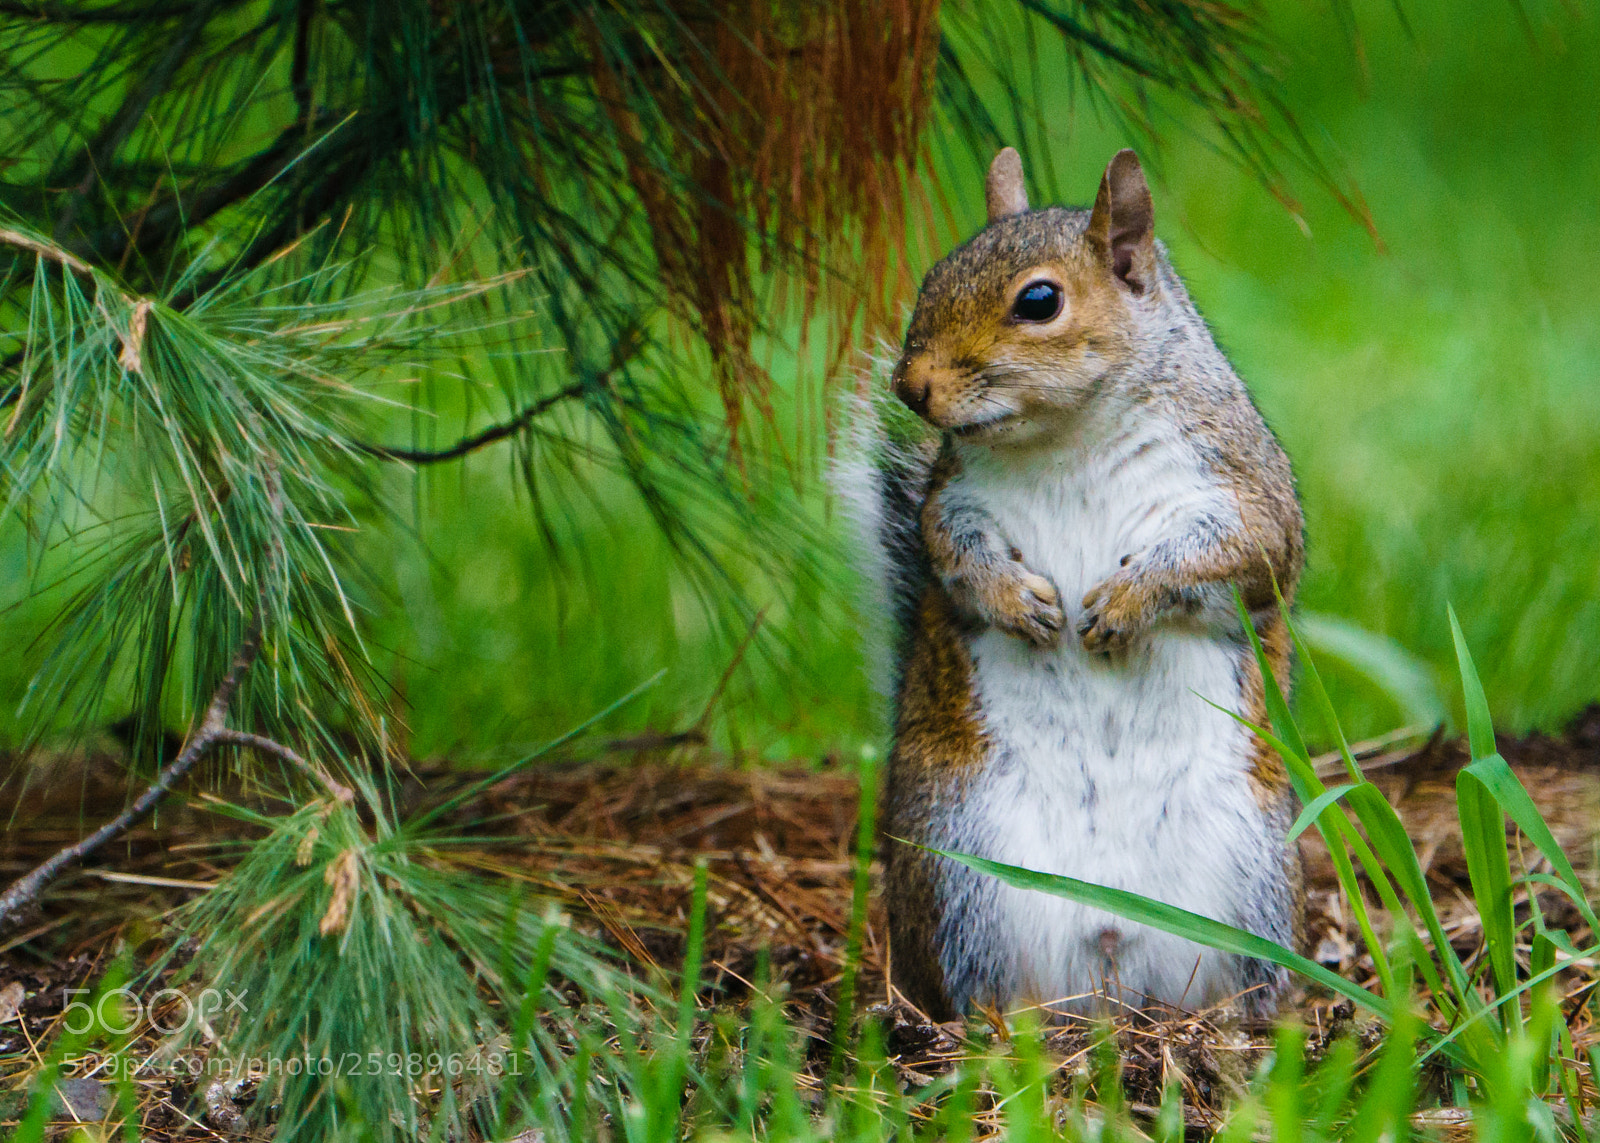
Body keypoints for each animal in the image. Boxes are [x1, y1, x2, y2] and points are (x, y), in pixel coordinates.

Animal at [851, 147, 1306, 1021]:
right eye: (935, 272)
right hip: (961, 872)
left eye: (1039, 300)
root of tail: (1110, 958)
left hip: (1249, 876)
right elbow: (952, 557)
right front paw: (1014, 600)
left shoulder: (1245, 491)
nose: (911, 385)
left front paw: (1127, 602)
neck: (1066, 437)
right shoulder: (953, 504)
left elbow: (1240, 556)